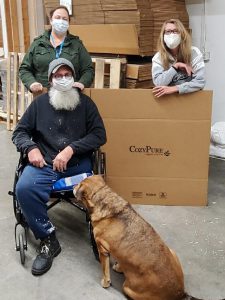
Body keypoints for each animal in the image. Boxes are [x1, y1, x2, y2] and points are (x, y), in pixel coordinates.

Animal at [74, 176, 202, 300]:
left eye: (80, 184)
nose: (74, 185)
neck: (104, 197)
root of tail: (180, 293)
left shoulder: (102, 249)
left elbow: (105, 271)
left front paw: (106, 282)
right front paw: (119, 267)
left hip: (127, 288)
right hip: (172, 251)